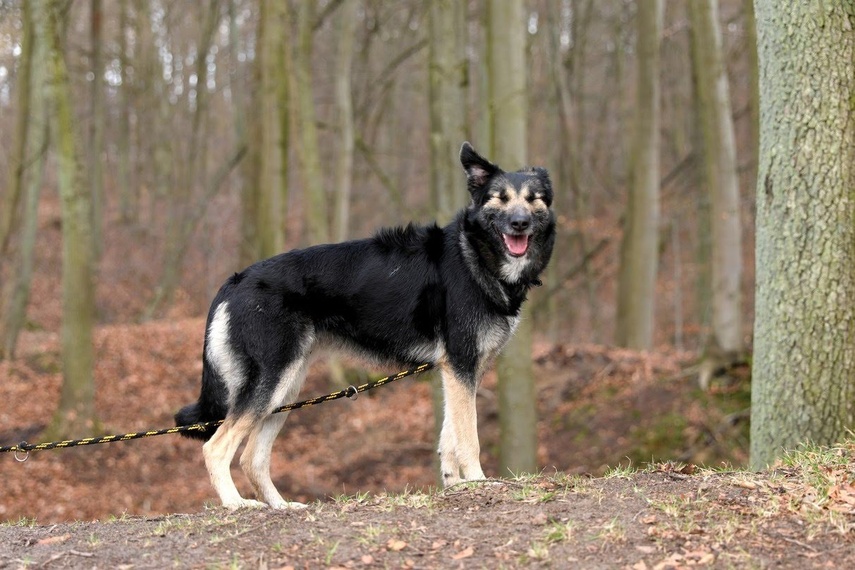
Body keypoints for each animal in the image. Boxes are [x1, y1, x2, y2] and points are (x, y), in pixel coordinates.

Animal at [177, 142, 560, 506]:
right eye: (500, 198)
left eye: (534, 200)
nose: (520, 223)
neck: (474, 256)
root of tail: (236, 281)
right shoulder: (462, 367)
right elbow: (469, 438)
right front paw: (478, 482)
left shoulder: (459, 371)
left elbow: (449, 436)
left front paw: (456, 485)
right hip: (269, 384)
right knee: (216, 448)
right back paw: (236, 505)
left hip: (285, 389)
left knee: (252, 459)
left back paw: (281, 507)